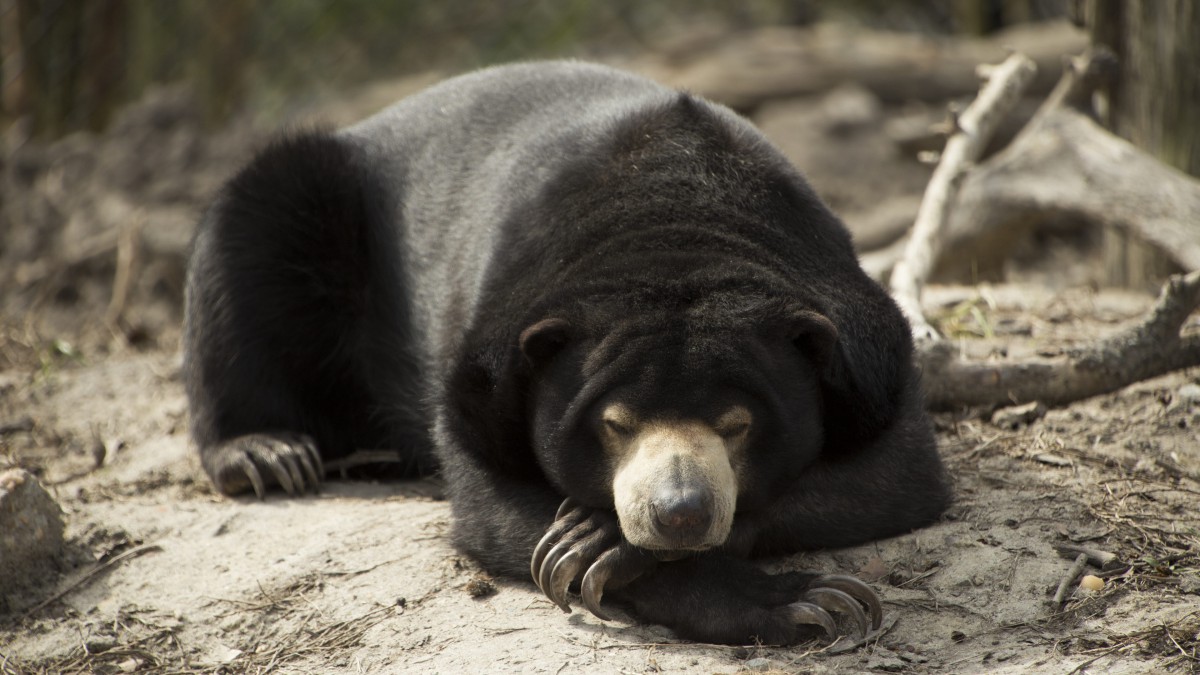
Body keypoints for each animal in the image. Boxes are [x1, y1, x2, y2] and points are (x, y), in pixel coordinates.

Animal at [182, 60, 950, 643]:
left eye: (739, 424)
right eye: (614, 422)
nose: (679, 513)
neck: (676, 220)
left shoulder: (869, 360)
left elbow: (894, 475)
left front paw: (604, 539)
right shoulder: (484, 373)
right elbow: (498, 506)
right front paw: (803, 601)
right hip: (311, 207)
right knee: (246, 244)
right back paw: (266, 452)